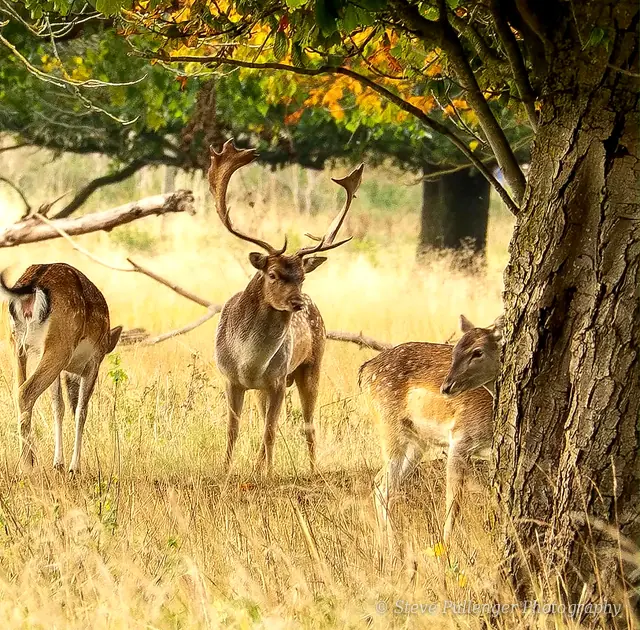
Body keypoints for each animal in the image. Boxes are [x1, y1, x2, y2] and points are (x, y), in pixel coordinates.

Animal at [0, 263, 122, 474]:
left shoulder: (61, 370)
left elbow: (58, 406)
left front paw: (58, 463)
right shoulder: (94, 361)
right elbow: (81, 410)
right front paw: (74, 467)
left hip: (16, 344)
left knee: (18, 390)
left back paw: (29, 459)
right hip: (59, 345)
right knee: (25, 392)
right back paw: (28, 465)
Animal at [210, 139, 364, 474]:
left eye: (302, 276)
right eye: (272, 274)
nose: (297, 302)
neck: (249, 361)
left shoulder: (278, 380)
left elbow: (270, 430)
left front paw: (263, 473)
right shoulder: (231, 379)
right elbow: (233, 429)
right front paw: (225, 470)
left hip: (312, 365)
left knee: (307, 423)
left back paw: (311, 468)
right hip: (266, 388)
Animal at [359, 316, 503, 547]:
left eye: (477, 352)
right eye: (455, 350)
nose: (447, 386)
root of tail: (364, 371)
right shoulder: (460, 438)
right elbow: (453, 502)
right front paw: (446, 547)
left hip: (416, 442)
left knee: (384, 485)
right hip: (388, 426)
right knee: (382, 484)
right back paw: (392, 546)